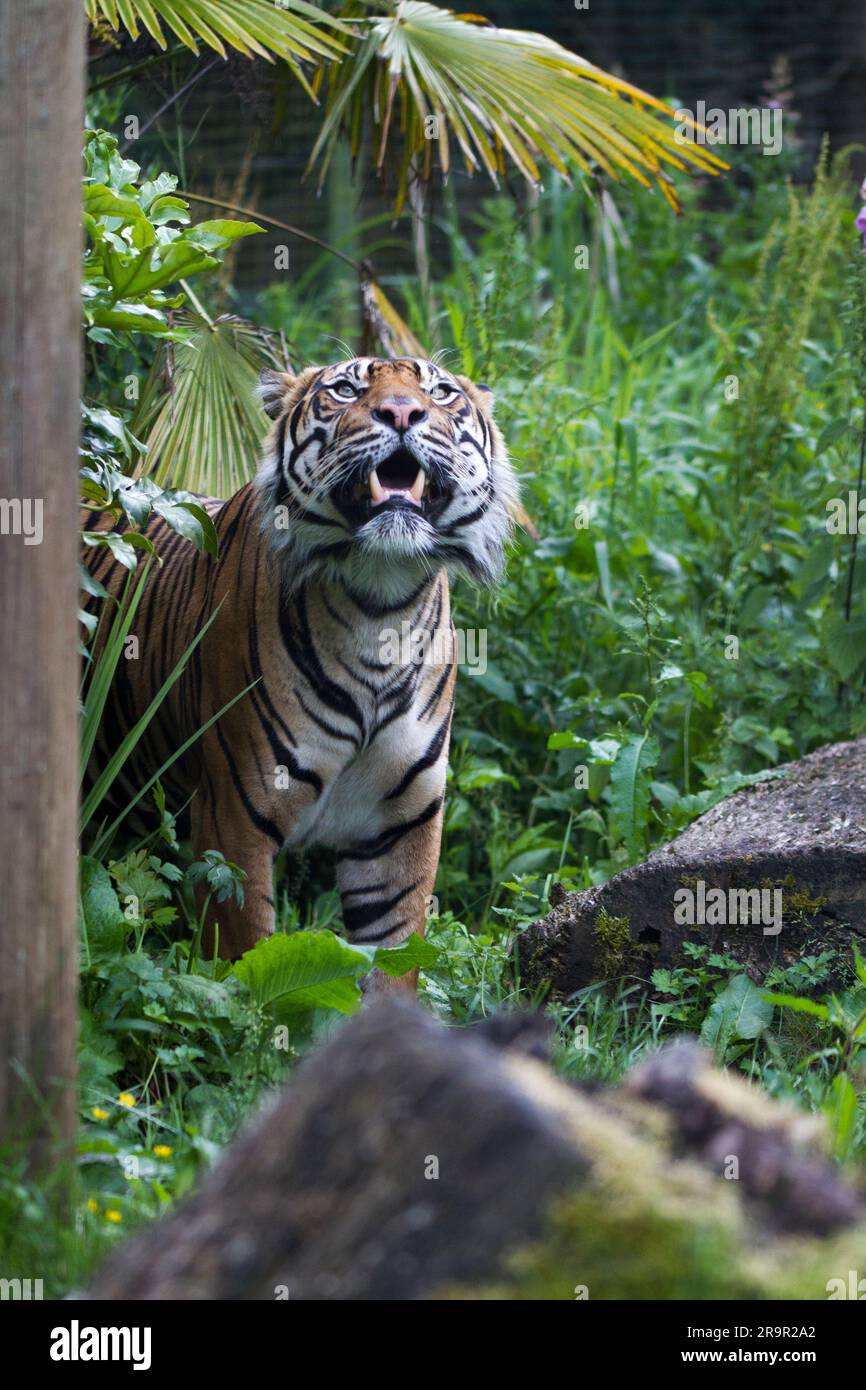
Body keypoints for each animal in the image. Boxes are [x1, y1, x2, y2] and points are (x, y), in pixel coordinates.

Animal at [81, 356, 517, 991]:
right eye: (347, 389)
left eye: (439, 393)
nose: (402, 412)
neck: (381, 605)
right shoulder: (234, 817)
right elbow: (247, 969)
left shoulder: (402, 828)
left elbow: (394, 958)